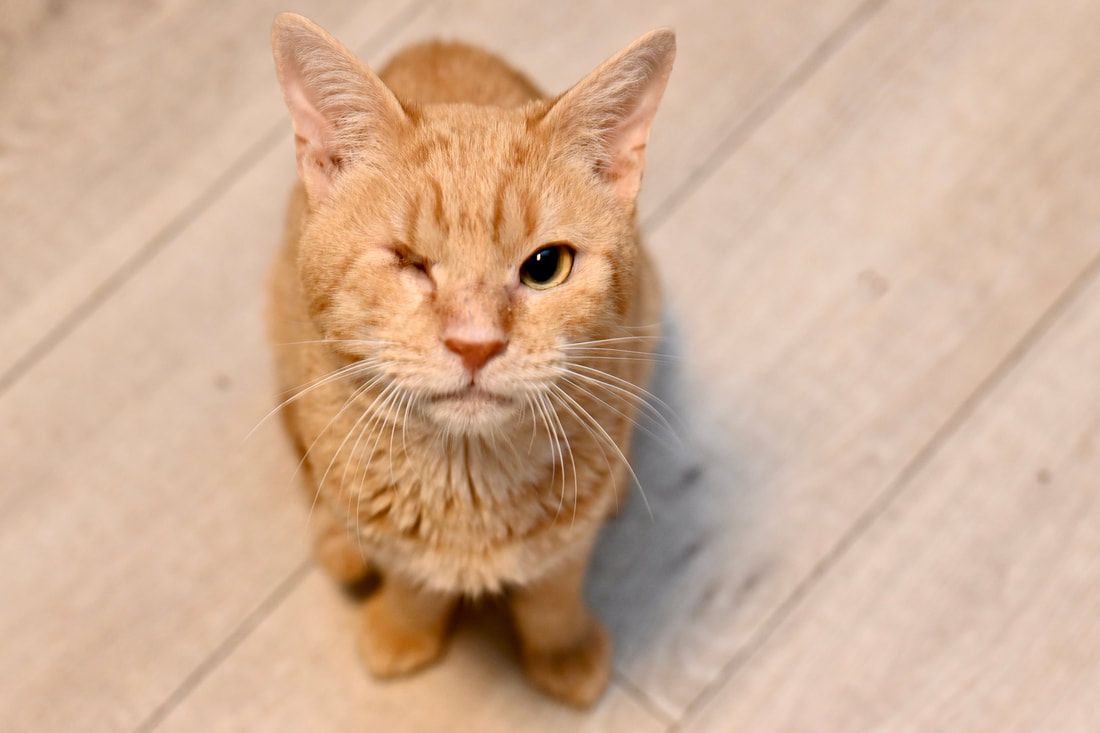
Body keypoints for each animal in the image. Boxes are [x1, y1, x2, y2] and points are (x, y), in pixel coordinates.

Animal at [268, 14, 668, 704]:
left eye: (545, 267)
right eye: (408, 263)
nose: (475, 342)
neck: (469, 480)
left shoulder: (567, 547)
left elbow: (554, 593)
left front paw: (563, 650)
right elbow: (410, 583)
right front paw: (403, 632)